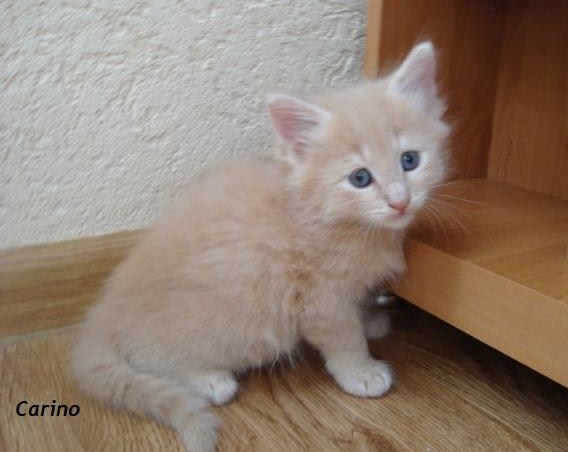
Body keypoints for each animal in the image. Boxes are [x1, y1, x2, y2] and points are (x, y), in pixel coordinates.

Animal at [71, 41, 449, 452]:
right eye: (360, 178)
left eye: (410, 160)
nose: (400, 201)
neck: (320, 215)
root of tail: (101, 320)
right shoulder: (320, 299)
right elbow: (342, 337)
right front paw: (361, 372)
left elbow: (359, 305)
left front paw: (372, 321)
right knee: (151, 358)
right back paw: (209, 379)